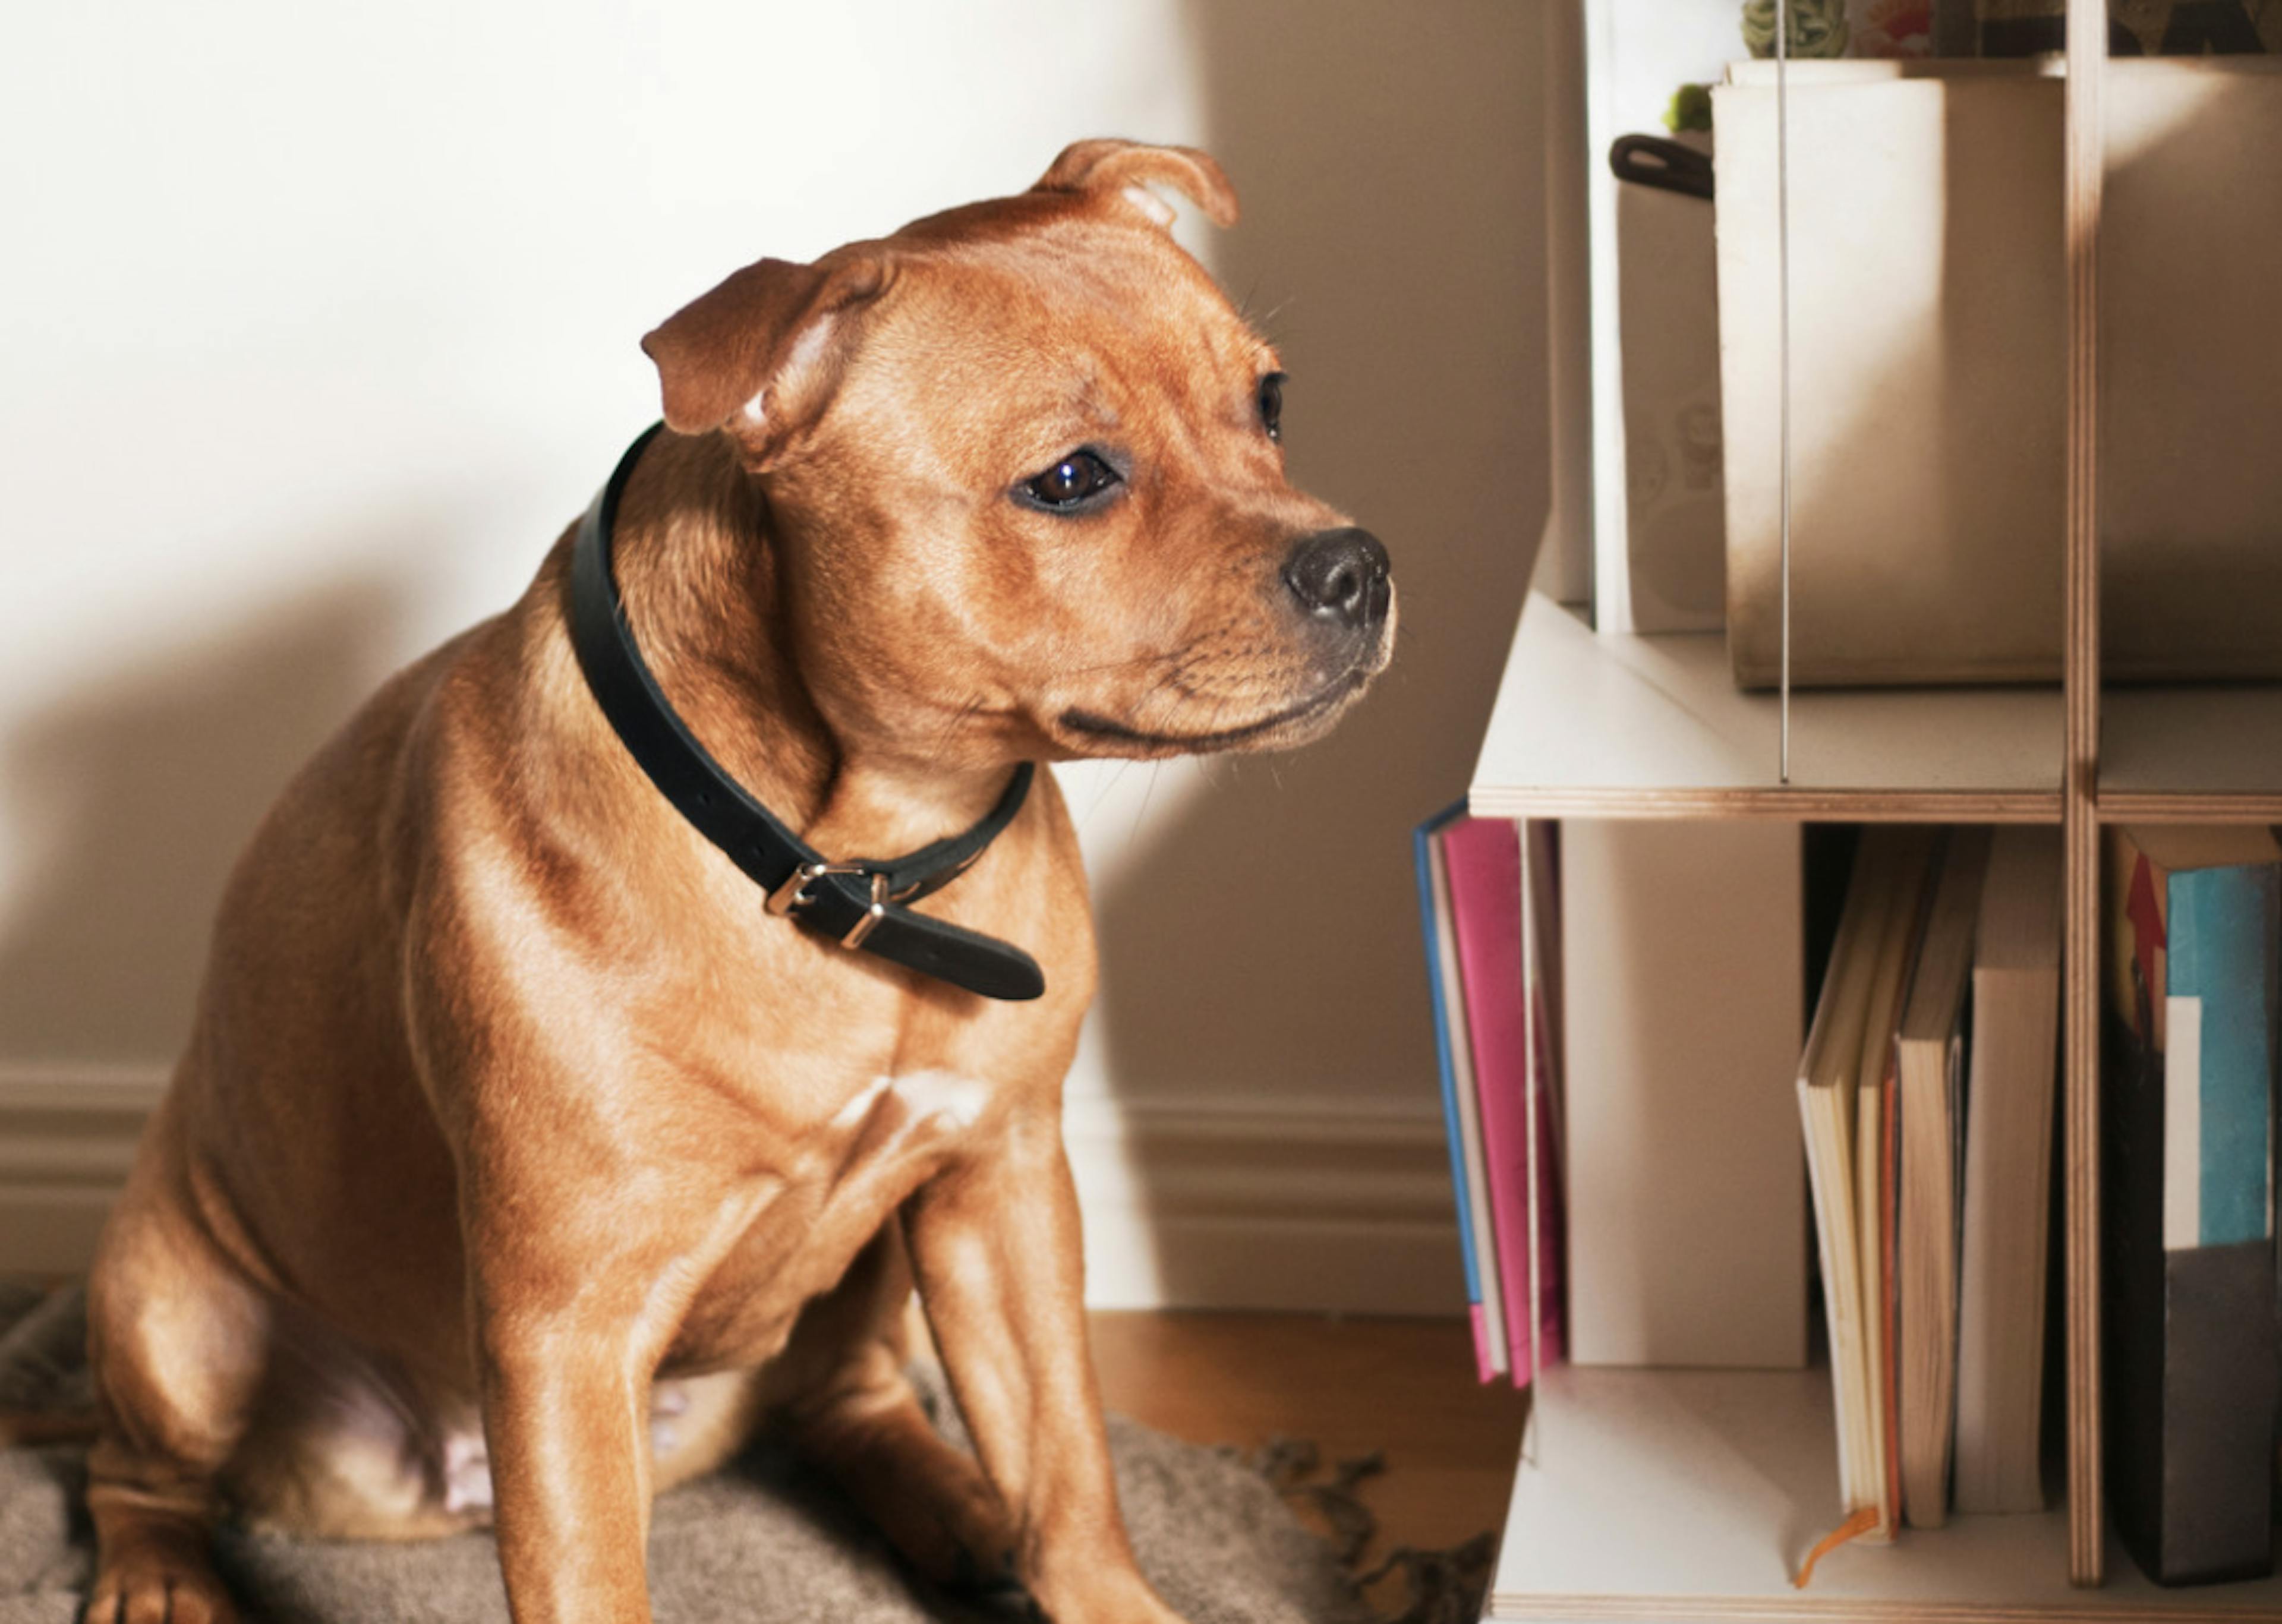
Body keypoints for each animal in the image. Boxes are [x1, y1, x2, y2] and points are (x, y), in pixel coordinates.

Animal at [80, 142, 1387, 1624]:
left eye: (1269, 399)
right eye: (1071, 479)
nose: (1357, 567)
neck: (851, 857)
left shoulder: (1002, 1185)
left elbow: (1068, 1467)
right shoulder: (567, 1317)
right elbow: (592, 1577)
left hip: (881, 1262)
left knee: (849, 1400)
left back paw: (956, 1507)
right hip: (173, 1318)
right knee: (130, 1470)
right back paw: (160, 1577)